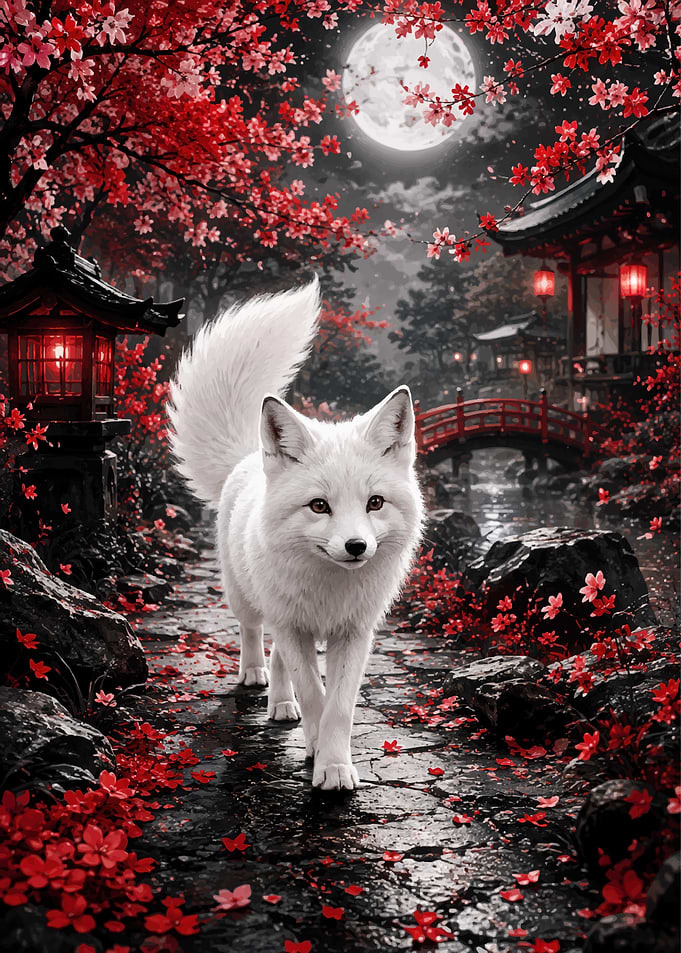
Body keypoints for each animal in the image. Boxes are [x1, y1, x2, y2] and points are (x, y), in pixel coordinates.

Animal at [167, 277, 424, 790]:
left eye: (375, 503)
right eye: (319, 506)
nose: (356, 547)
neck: (329, 588)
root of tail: (249, 456)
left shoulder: (354, 634)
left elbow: (339, 707)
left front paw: (334, 763)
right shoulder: (293, 625)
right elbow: (314, 694)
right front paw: (320, 755)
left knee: (280, 659)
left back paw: (281, 707)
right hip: (248, 600)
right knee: (255, 637)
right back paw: (257, 680)